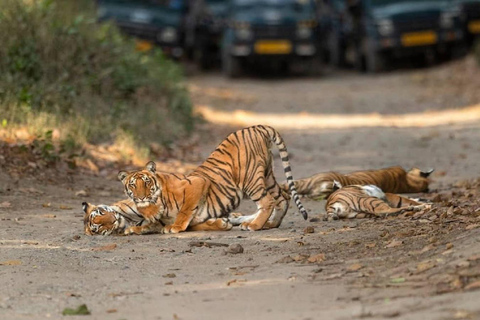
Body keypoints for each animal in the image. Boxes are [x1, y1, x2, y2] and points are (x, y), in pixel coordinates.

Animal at [115, 125, 308, 235]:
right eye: (133, 185)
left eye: (146, 182)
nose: (141, 197)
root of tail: (257, 128)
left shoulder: (197, 183)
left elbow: (185, 210)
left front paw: (175, 227)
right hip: (267, 176)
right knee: (283, 197)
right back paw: (270, 224)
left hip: (251, 180)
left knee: (268, 201)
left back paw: (253, 225)